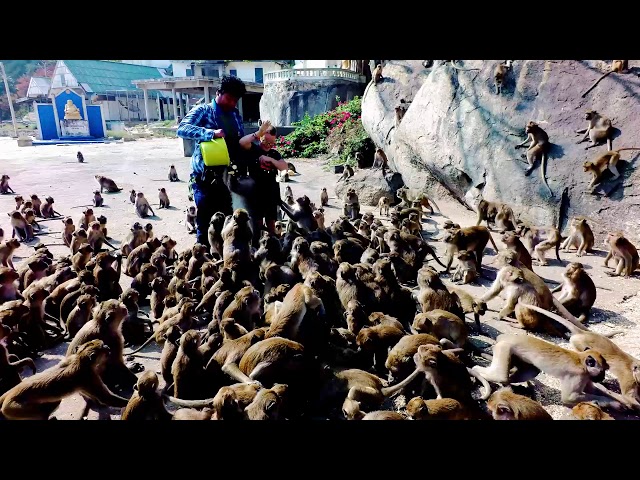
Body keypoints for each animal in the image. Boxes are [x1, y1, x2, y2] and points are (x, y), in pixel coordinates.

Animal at [0, 340, 129, 420]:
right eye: (103, 346)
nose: (107, 347)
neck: (79, 360)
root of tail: (7, 397)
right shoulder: (88, 376)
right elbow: (105, 398)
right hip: (12, 407)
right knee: (41, 413)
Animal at [471, 333, 632, 411]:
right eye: (603, 371)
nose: (602, 377)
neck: (581, 361)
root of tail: (503, 337)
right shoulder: (578, 375)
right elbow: (569, 398)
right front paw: (611, 402)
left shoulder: (586, 376)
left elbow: (591, 390)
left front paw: (619, 402)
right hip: (504, 348)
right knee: (500, 375)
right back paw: (475, 371)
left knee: (530, 371)